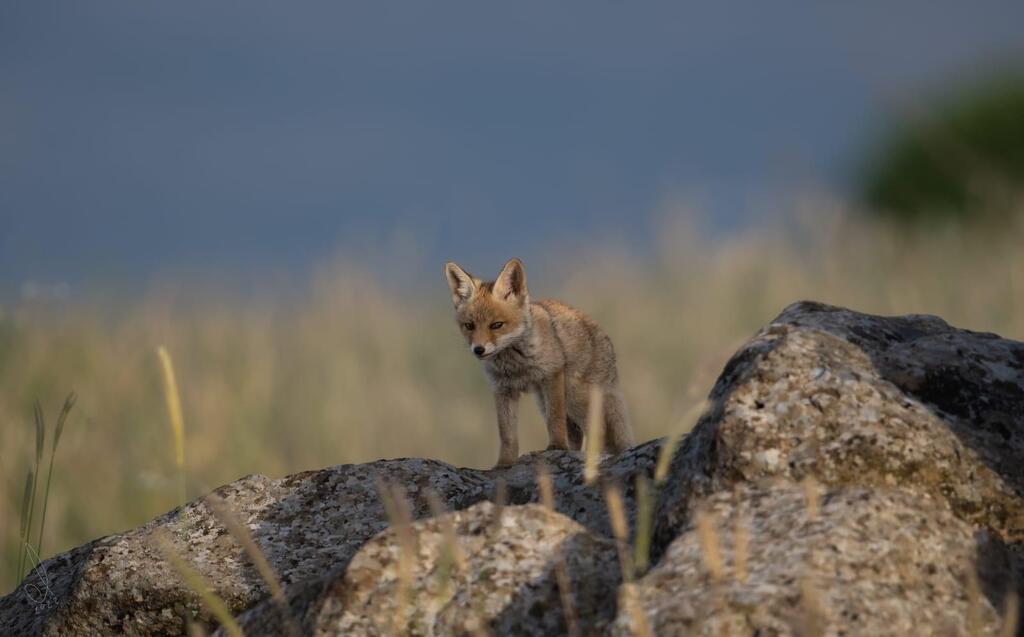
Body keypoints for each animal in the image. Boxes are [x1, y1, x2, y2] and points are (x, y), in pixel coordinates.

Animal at [442, 257, 630, 471]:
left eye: (496, 325)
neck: (515, 365)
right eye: (469, 326)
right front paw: (504, 464)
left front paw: (557, 447)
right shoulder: (503, 390)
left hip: (574, 397)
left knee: (598, 430)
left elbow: (555, 420)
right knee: (577, 433)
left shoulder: (552, 375)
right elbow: (507, 435)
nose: (478, 349)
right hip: (545, 401)